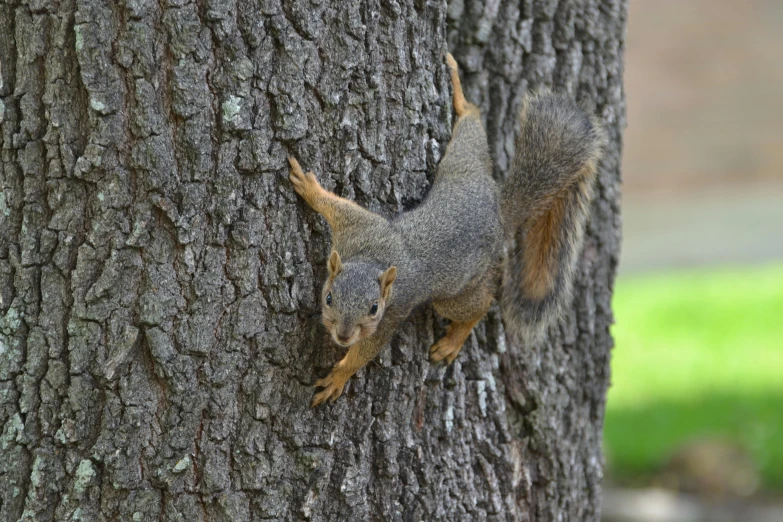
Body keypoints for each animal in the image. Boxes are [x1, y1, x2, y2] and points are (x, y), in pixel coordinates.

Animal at [290, 52, 604, 404]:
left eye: (373, 308)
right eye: (329, 297)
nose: (343, 336)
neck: (372, 257)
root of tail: (499, 215)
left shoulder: (394, 310)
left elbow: (367, 350)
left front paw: (339, 375)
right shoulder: (359, 227)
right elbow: (337, 206)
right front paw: (310, 188)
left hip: (457, 290)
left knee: (480, 306)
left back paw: (453, 341)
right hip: (463, 168)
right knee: (471, 132)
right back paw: (462, 99)